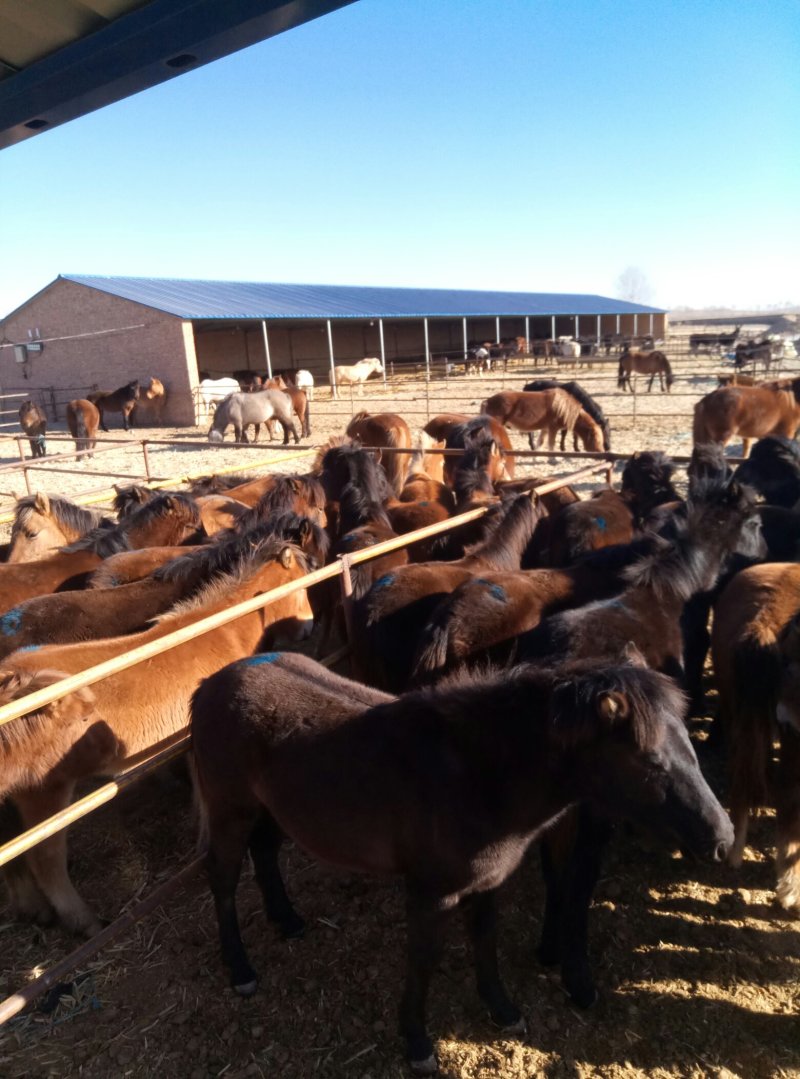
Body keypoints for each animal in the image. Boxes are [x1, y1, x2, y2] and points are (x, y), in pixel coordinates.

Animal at [0, 535, 315, 936]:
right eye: (301, 584)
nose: (308, 629)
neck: (218, 629)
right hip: (44, 793)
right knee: (45, 858)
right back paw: (85, 921)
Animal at [190, 650, 732, 1074]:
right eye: (650, 762)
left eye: (690, 745)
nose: (722, 838)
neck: (476, 775)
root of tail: (208, 686)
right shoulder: (432, 893)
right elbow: (424, 960)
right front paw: (416, 1042)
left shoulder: (488, 882)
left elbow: (484, 940)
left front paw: (503, 1009)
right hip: (231, 811)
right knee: (223, 879)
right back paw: (240, 969)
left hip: (270, 809)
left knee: (265, 853)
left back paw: (287, 920)